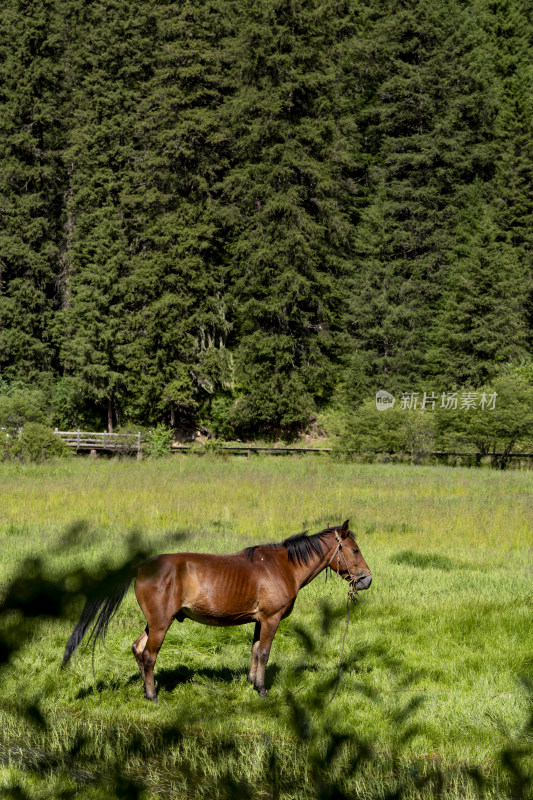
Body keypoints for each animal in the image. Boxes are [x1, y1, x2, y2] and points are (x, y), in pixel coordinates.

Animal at [63, 520, 370, 700]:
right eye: (354, 550)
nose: (366, 579)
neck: (283, 566)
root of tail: (142, 566)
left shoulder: (259, 620)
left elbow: (255, 650)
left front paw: (251, 682)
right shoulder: (271, 619)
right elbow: (265, 652)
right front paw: (262, 690)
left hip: (153, 622)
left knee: (137, 649)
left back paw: (143, 690)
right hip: (161, 623)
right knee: (149, 655)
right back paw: (152, 695)